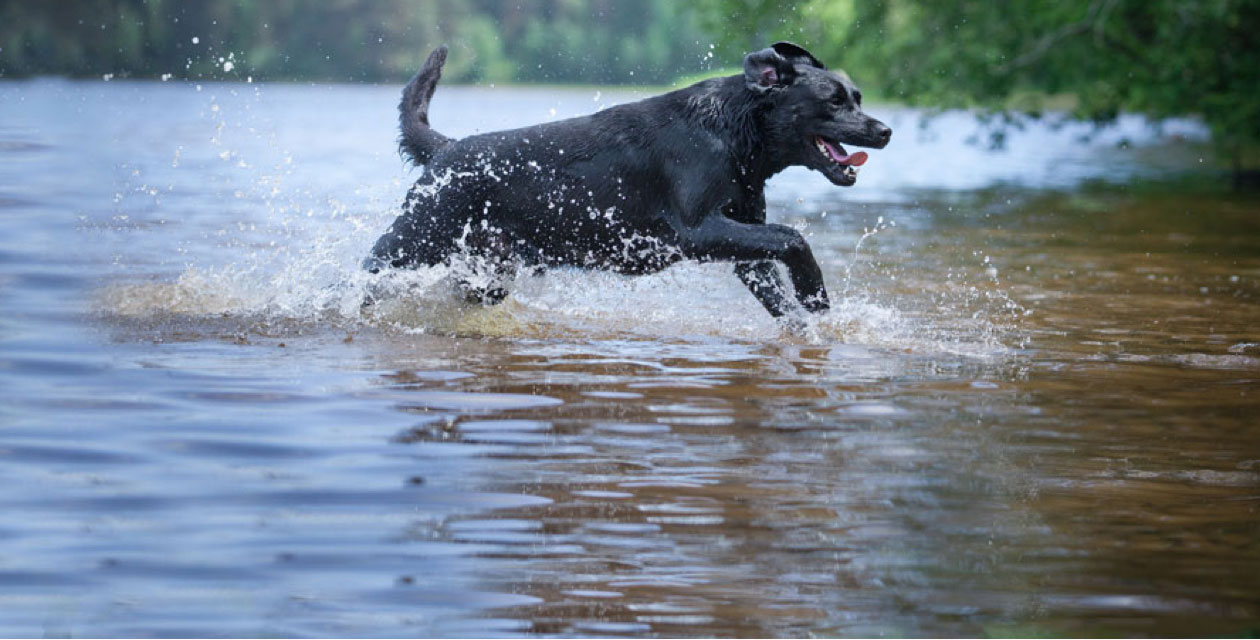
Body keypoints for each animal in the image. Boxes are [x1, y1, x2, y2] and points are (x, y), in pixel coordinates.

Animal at [367, 41, 887, 317]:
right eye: (833, 101)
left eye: (858, 97)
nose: (884, 130)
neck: (733, 131)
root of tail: (445, 150)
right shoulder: (697, 230)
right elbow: (793, 238)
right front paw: (815, 292)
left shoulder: (744, 239)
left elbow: (777, 277)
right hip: (411, 241)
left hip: (486, 270)